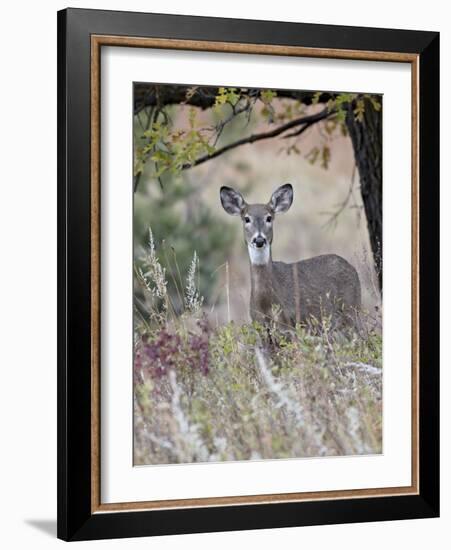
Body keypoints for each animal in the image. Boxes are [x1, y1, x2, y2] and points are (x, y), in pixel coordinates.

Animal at [221, 184, 362, 332]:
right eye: (246, 219)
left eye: (269, 218)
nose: (259, 240)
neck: (266, 302)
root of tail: (352, 267)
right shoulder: (258, 323)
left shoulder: (289, 323)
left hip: (352, 309)